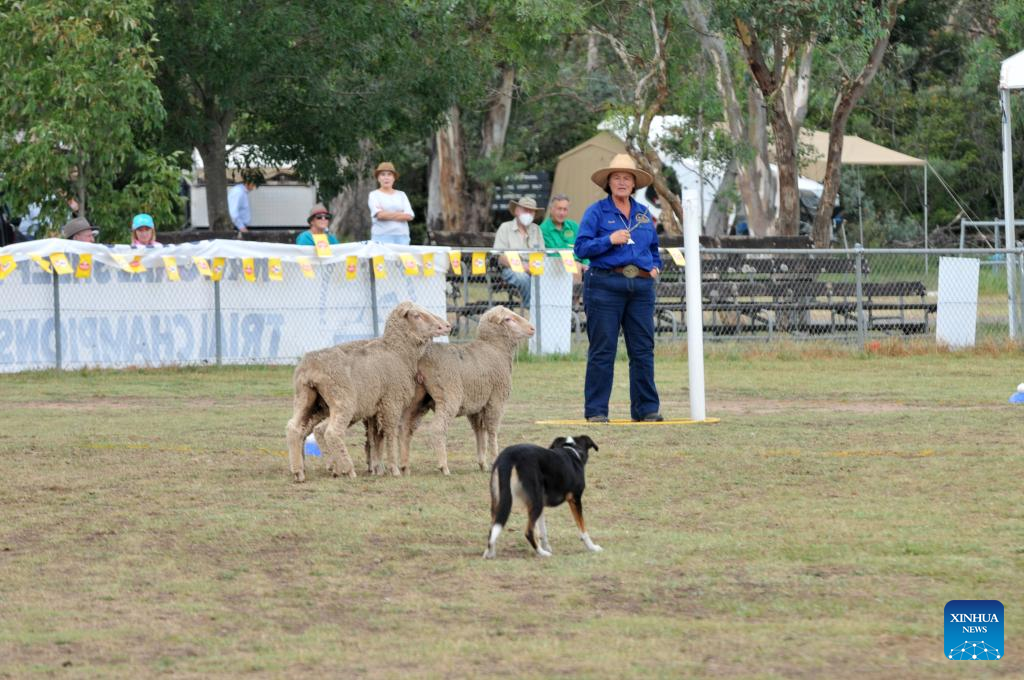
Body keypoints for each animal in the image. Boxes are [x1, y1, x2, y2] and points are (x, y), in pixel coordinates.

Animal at [286, 301, 450, 481]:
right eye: (416, 315)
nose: (446, 326)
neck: (398, 352)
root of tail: (311, 366)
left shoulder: (374, 408)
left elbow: (376, 437)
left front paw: (378, 468)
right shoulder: (391, 402)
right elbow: (390, 434)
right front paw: (394, 469)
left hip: (306, 399)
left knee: (295, 428)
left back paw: (300, 471)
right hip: (342, 401)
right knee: (331, 432)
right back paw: (347, 469)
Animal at [397, 305, 532, 475]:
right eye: (508, 319)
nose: (532, 328)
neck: (494, 348)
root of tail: (421, 358)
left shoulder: (477, 404)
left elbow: (479, 431)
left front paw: (482, 464)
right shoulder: (496, 400)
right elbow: (492, 431)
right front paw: (495, 458)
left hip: (417, 397)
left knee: (404, 427)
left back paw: (404, 466)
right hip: (448, 395)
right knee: (437, 428)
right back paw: (443, 466)